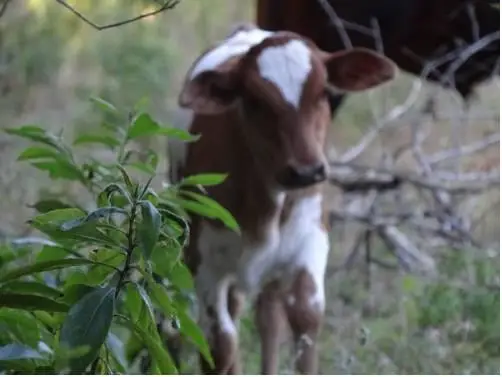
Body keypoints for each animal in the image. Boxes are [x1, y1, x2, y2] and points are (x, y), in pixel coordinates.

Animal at [169, 24, 396, 374]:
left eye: (323, 93)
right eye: (255, 101)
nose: (306, 171)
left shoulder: (309, 243)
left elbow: (305, 321)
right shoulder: (205, 263)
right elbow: (218, 345)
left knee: (269, 319)